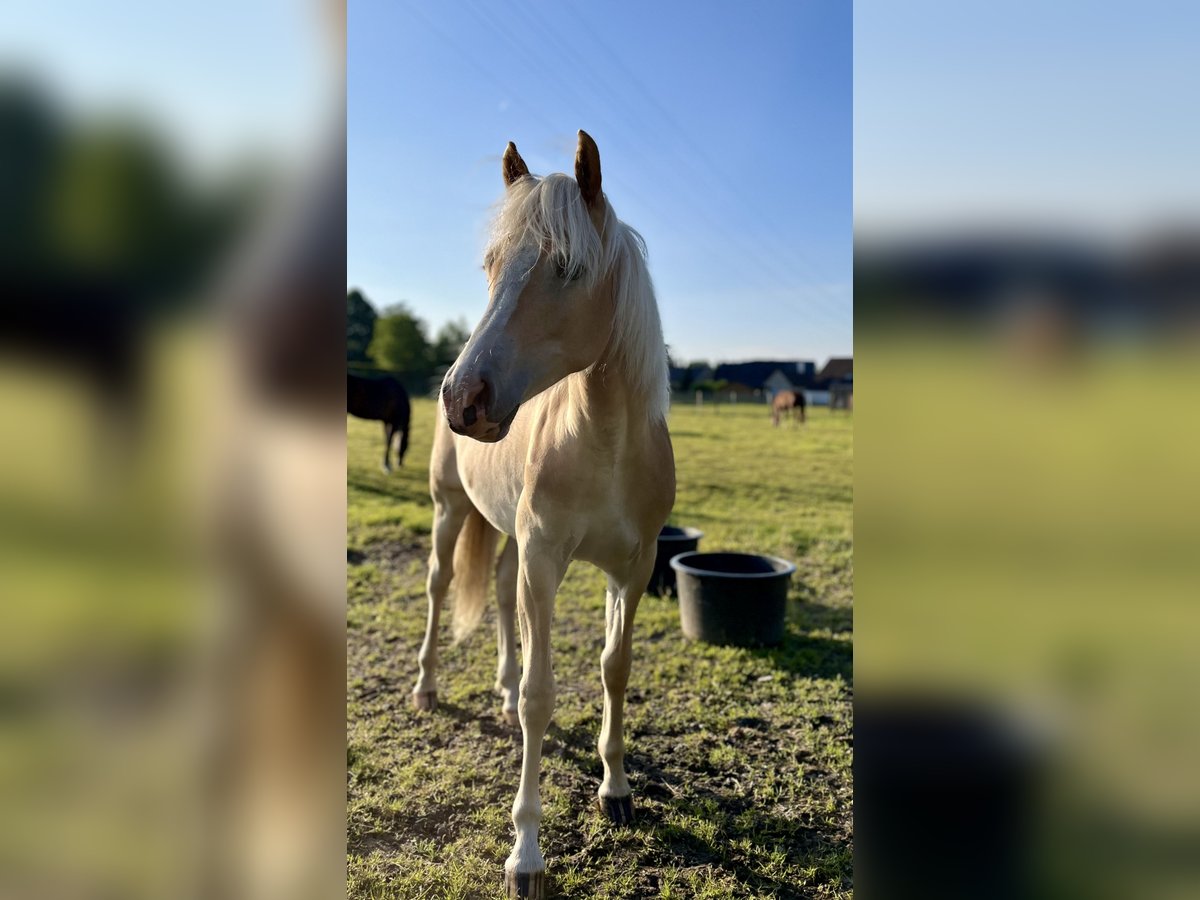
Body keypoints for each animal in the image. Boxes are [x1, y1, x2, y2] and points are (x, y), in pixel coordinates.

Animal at [412, 130, 676, 897]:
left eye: (568, 266)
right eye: (492, 264)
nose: (462, 398)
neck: (606, 444)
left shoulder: (634, 567)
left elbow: (615, 668)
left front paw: (616, 788)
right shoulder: (544, 561)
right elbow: (541, 694)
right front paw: (525, 854)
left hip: (507, 537)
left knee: (499, 593)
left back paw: (494, 693)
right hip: (450, 512)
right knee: (441, 586)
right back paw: (427, 687)